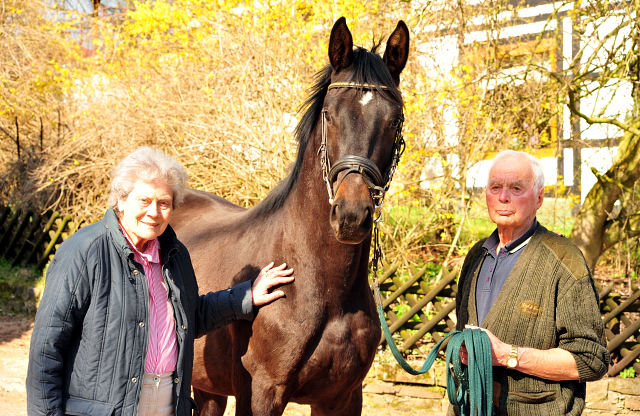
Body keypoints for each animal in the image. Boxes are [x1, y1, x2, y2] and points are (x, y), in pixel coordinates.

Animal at [170, 17, 410, 416]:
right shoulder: (262, 392)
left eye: (395, 121)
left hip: (207, 388)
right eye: (330, 114)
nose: (351, 215)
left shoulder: (343, 399)